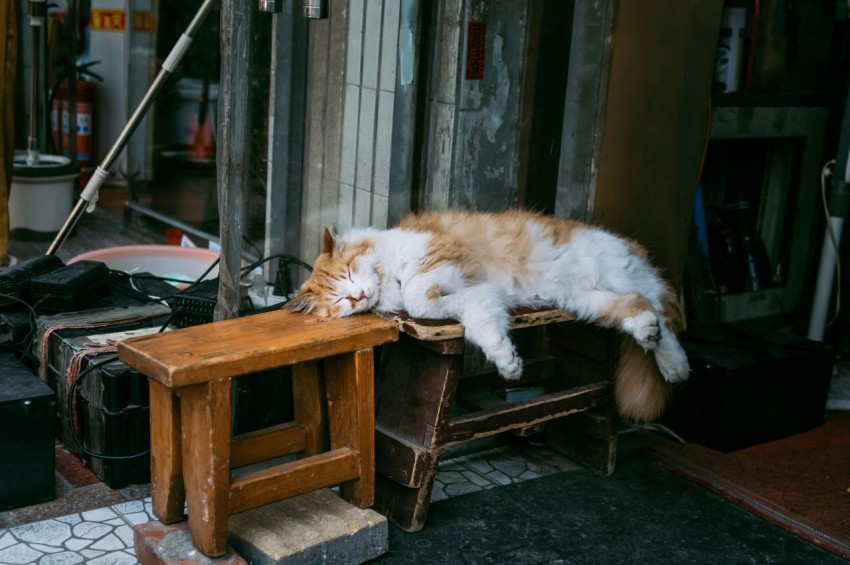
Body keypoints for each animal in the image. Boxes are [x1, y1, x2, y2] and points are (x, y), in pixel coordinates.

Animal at [284, 209, 688, 420]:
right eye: (339, 300)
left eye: (350, 273)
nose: (357, 295)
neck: (387, 276)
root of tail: (630, 248)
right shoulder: (476, 299)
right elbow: (482, 324)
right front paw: (508, 363)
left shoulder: (438, 252)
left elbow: (417, 296)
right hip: (588, 300)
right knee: (643, 310)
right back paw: (666, 357)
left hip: (609, 275)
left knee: (661, 313)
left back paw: (674, 362)